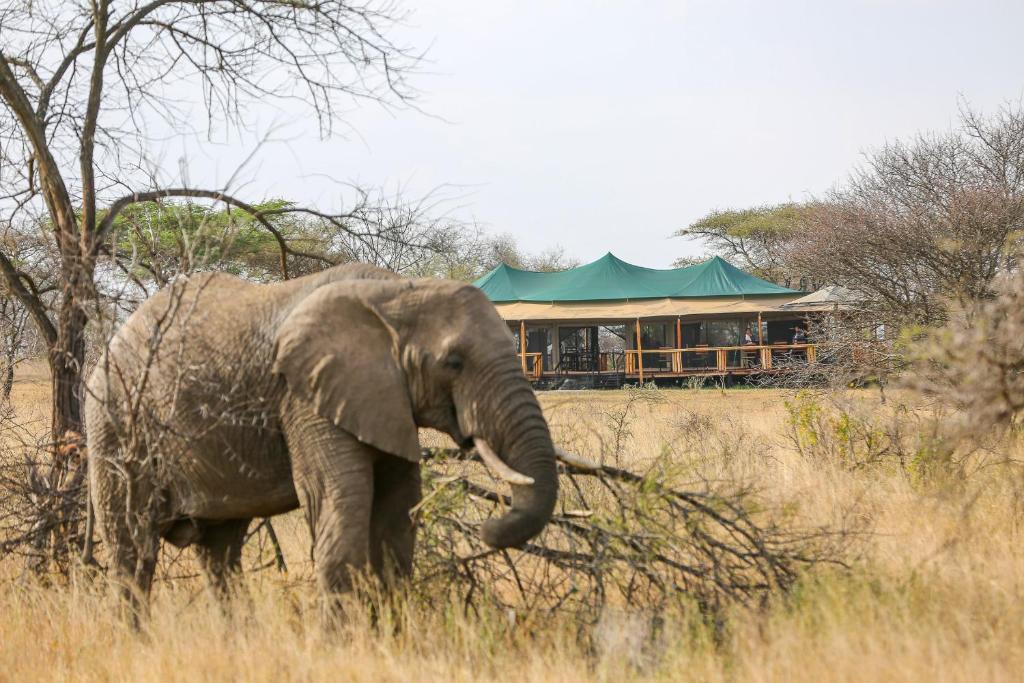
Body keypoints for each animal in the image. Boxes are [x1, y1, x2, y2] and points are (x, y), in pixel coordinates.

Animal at [84, 264, 569, 610]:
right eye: (454, 362)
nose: (489, 525)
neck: (397, 293)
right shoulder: (304, 396)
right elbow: (340, 499)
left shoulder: (383, 401)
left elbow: (397, 516)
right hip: (115, 425)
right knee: (133, 549)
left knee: (220, 551)